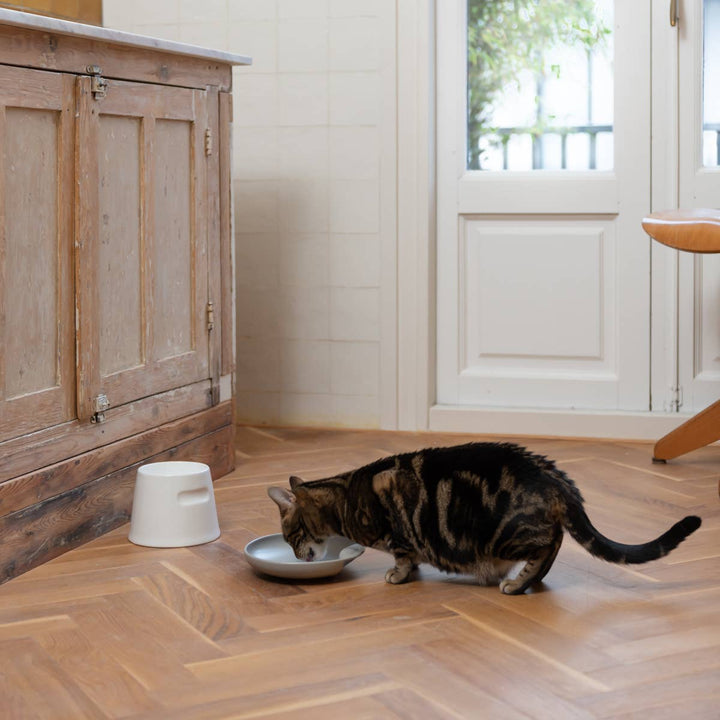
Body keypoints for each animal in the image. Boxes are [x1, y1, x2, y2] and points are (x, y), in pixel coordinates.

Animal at [268, 442, 700, 592]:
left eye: (290, 536)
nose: (296, 556)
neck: (343, 496)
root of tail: (554, 478)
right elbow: (412, 558)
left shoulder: (396, 527)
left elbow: (403, 555)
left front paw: (398, 575)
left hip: (505, 535)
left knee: (550, 545)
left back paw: (517, 583)